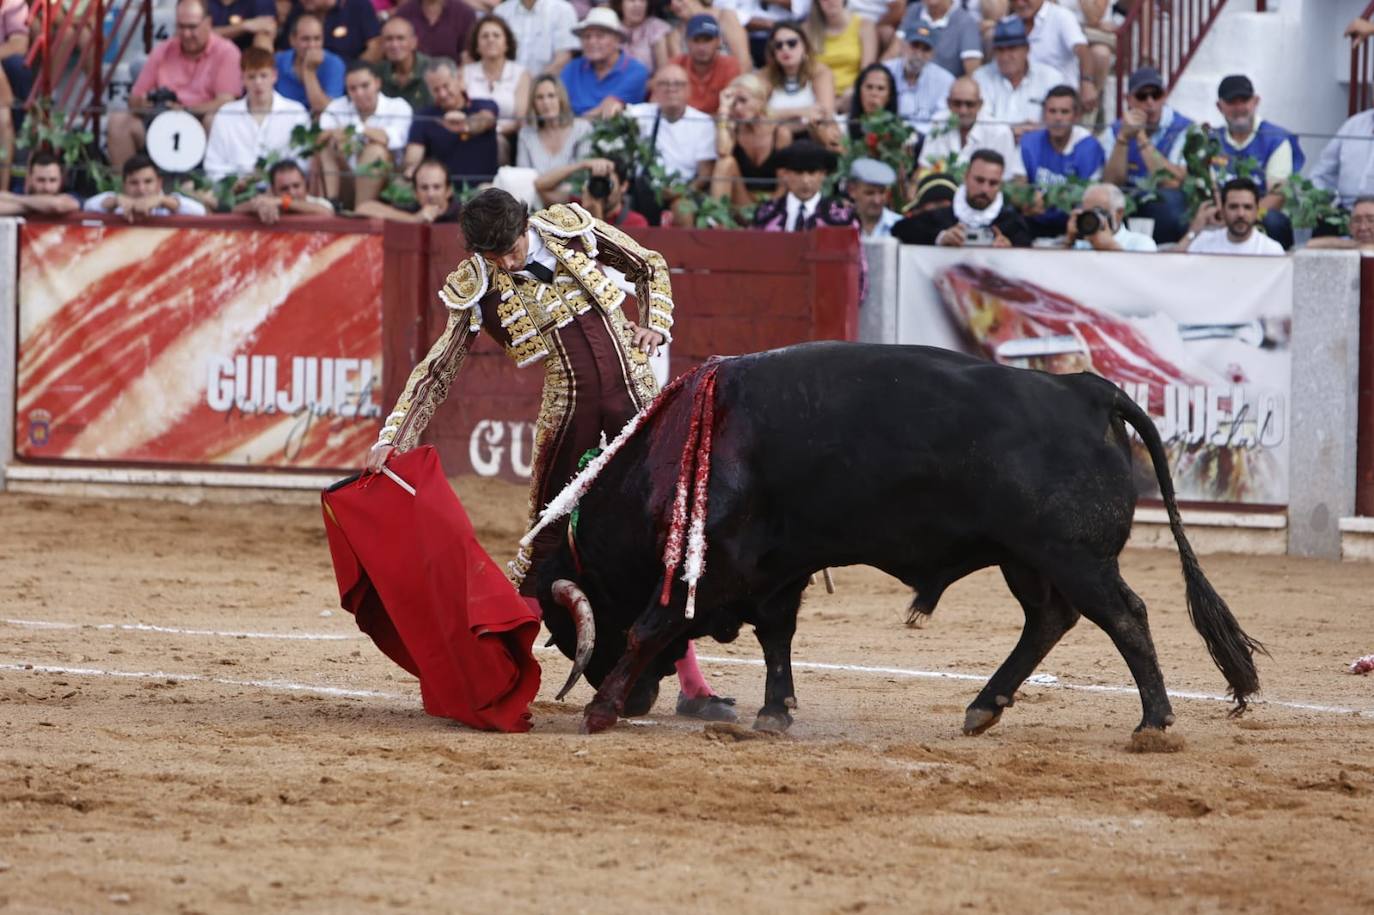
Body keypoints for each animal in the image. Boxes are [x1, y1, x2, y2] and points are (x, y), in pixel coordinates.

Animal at [535, 340, 1264, 736]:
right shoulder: (776, 568)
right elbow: (776, 637)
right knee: (1049, 619)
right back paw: (984, 707)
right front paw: (774, 713)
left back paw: (1154, 722)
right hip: (1029, 559)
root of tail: (1085, 389)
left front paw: (599, 708)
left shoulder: (715, 565)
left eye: (569, 629)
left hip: (1076, 557)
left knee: (1125, 616)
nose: (641, 701)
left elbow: (651, 624)